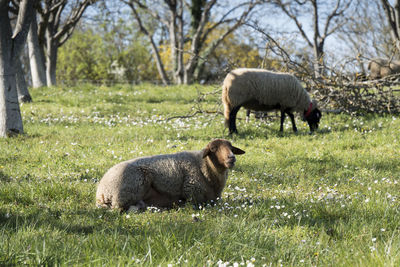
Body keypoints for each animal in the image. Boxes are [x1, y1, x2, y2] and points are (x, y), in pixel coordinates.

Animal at [95, 139, 245, 213]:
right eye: (213, 148)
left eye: (231, 147)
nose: (232, 158)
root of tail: (101, 192)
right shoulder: (193, 195)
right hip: (131, 187)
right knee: (121, 208)